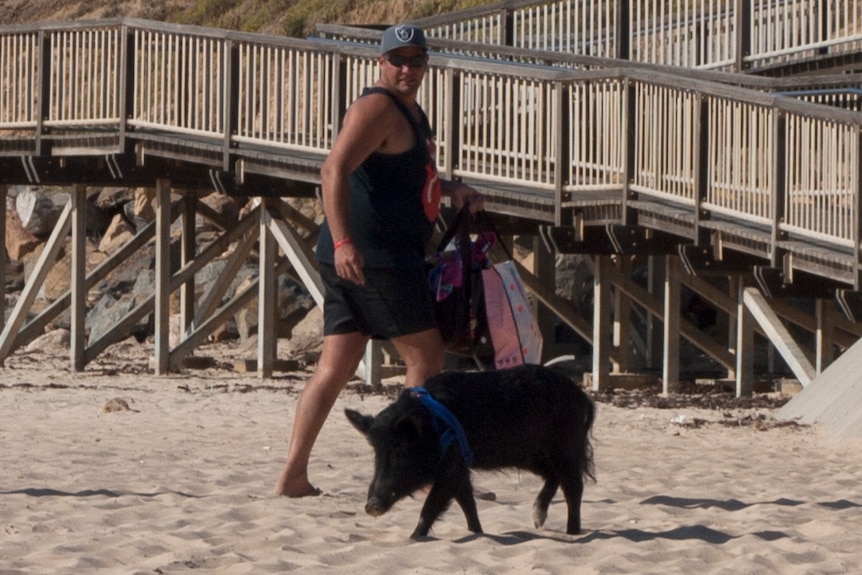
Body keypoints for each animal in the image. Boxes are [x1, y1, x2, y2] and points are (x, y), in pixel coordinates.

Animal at [344, 364, 592, 540]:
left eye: (401, 452)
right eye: (377, 455)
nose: (371, 506)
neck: (435, 429)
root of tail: (583, 398)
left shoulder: (451, 467)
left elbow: (431, 507)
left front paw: (412, 538)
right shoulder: (460, 467)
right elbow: (467, 501)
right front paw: (478, 532)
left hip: (566, 446)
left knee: (574, 486)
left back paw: (572, 533)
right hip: (532, 455)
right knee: (554, 477)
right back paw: (538, 521)